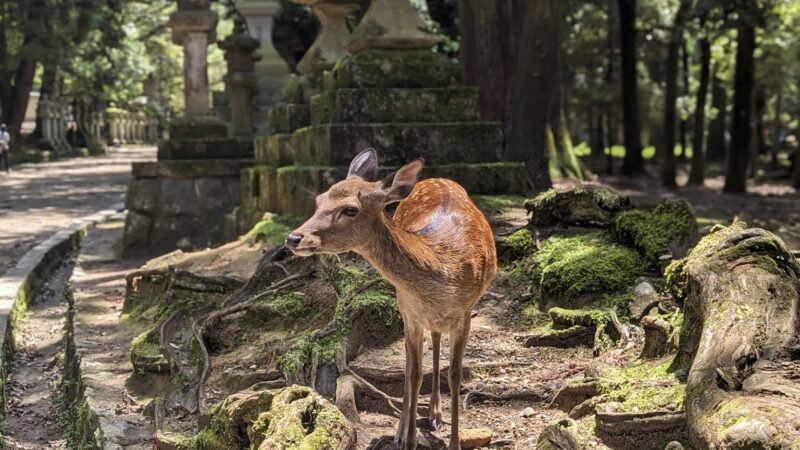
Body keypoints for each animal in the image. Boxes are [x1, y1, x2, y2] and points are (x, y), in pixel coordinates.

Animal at [284, 149, 496, 450]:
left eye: (351, 209)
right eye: (319, 200)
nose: (294, 238)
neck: (445, 267)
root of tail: (437, 179)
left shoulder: (464, 313)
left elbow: (455, 376)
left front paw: (454, 442)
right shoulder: (410, 312)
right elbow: (414, 373)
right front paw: (408, 440)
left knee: (435, 342)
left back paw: (435, 414)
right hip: (405, 309)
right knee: (411, 362)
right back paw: (409, 425)